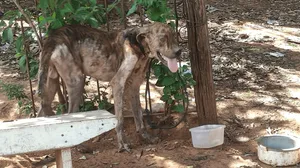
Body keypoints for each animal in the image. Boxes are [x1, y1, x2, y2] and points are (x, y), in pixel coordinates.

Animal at [37, 21, 183, 152]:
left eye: (174, 36)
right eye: (162, 38)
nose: (179, 52)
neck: (138, 45)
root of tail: (53, 37)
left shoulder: (134, 87)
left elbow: (139, 116)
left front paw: (146, 137)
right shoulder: (118, 83)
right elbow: (120, 120)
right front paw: (122, 144)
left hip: (51, 83)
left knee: (42, 111)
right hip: (77, 81)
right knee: (69, 114)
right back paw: (79, 147)